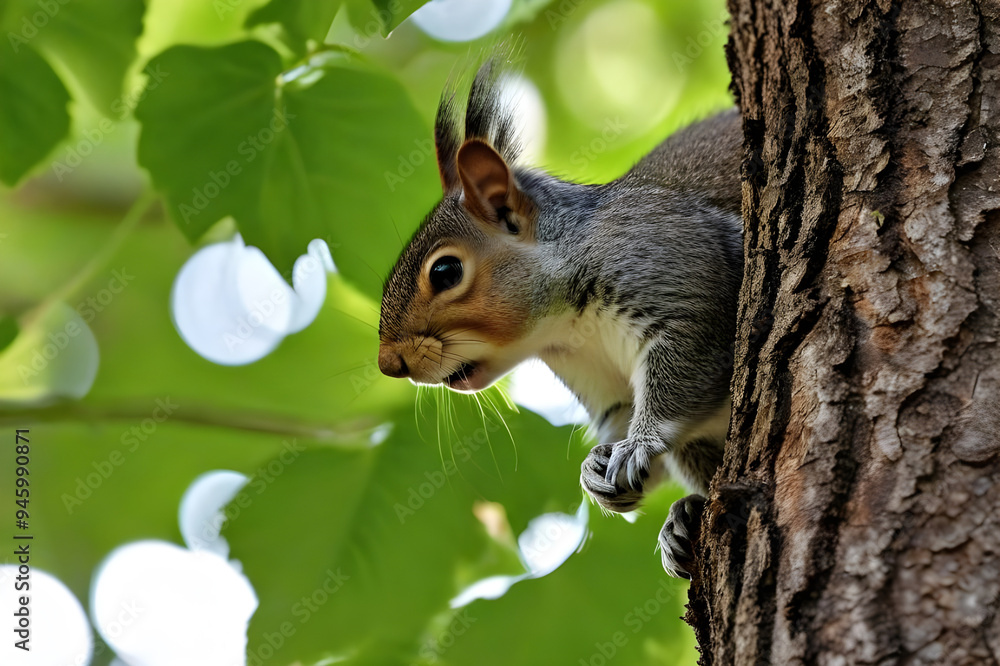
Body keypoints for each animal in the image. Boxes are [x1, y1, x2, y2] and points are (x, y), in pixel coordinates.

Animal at [377, 58, 743, 579]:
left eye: (445, 271)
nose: (389, 364)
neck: (568, 328)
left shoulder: (680, 272)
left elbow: (684, 361)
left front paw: (638, 444)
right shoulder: (603, 385)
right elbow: (620, 416)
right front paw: (594, 471)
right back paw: (685, 518)